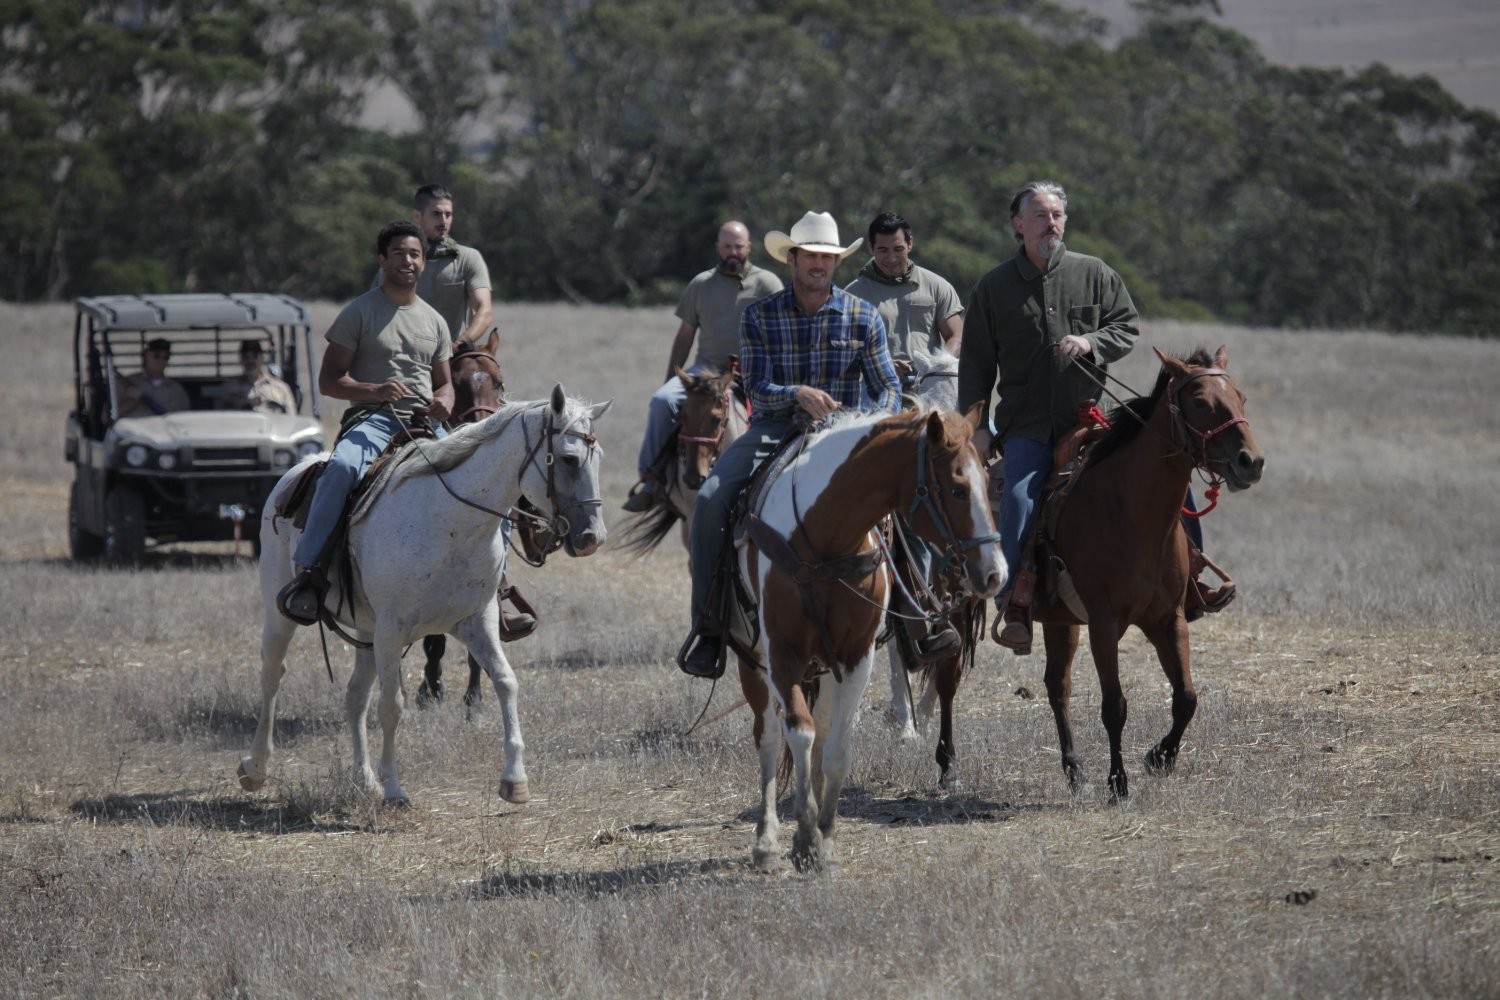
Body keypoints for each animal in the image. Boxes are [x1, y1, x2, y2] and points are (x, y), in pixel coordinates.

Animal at [238, 386, 609, 809]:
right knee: (272, 675)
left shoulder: (476, 622)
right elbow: (392, 706)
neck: (451, 523)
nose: (593, 538)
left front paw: (515, 779)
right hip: (283, 614)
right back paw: (255, 768)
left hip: (367, 634)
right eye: (568, 458)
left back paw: (363, 779)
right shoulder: (392, 630)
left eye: (598, 458)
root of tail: (294, 473)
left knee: (355, 697)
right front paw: (395, 789)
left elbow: (505, 681)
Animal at [729, 401, 1002, 869]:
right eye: (956, 490)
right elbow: (796, 733)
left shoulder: (856, 656)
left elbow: (837, 750)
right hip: (754, 661)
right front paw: (801, 835)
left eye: (987, 481)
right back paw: (766, 841)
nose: (995, 573)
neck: (824, 541)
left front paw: (822, 838)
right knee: (767, 736)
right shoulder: (783, 654)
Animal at [1032, 347, 1266, 803]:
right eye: (1200, 402)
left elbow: (1186, 697)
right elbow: (1114, 706)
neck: (1132, 513)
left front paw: (1160, 757)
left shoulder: (1167, 618)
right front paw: (1118, 782)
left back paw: (1074, 769)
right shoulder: (1104, 623)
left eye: (1242, 397)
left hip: (1059, 619)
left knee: (1057, 685)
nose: (1252, 462)